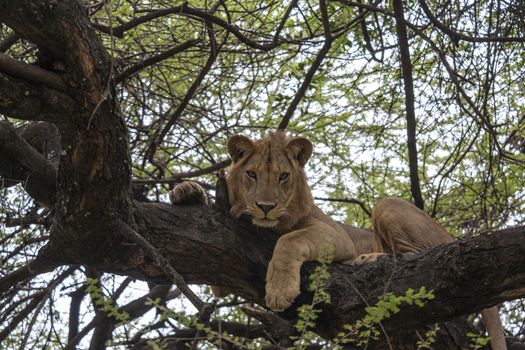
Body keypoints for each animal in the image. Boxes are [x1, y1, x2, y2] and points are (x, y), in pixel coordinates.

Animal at [170, 131, 506, 350]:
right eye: (251, 174)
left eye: (283, 176)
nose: (266, 206)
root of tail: (455, 236)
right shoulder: (221, 276)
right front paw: (185, 191)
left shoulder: (335, 234)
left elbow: (289, 240)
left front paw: (279, 291)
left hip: (388, 205)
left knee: (415, 255)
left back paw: (369, 258)